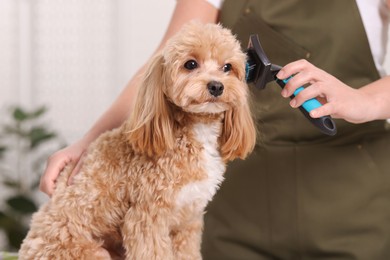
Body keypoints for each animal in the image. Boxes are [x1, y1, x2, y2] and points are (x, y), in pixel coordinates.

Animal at [19, 21, 256, 260]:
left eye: (227, 67)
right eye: (190, 64)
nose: (216, 86)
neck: (194, 132)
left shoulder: (188, 221)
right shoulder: (146, 218)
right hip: (87, 251)